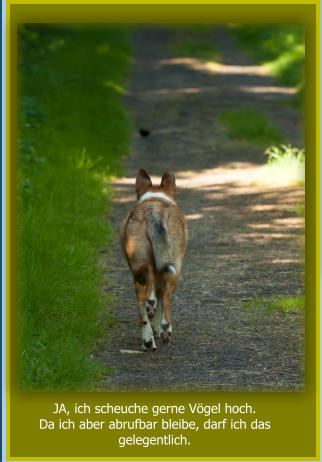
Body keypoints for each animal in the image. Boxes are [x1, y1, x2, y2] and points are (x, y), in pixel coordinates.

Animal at [120, 170, 186, 350]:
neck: (155, 197)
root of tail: (155, 212)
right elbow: (163, 300)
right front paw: (159, 330)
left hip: (139, 268)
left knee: (145, 309)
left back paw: (148, 340)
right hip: (173, 268)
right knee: (165, 298)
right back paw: (165, 330)